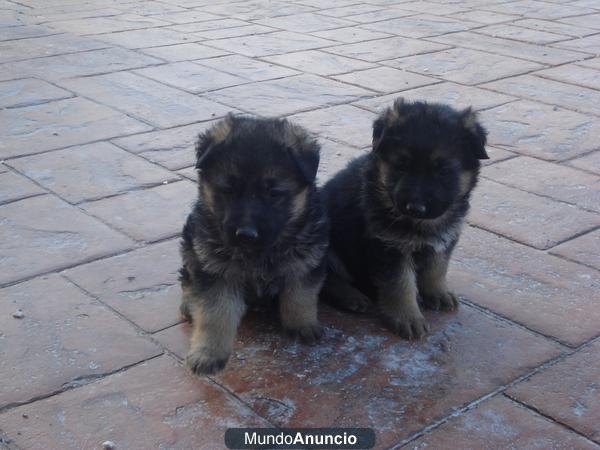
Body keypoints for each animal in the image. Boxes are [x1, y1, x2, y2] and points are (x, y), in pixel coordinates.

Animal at [179, 114, 328, 374]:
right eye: (228, 190)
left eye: (273, 193)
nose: (246, 234)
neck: (259, 254)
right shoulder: (214, 271)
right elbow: (214, 316)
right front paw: (208, 354)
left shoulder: (307, 261)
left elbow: (301, 296)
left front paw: (302, 324)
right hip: (191, 243)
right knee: (187, 277)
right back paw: (189, 303)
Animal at [324, 97, 488, 338]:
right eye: (401, 166)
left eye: (443, 171)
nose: (415, 208)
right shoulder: (389, 247)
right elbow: (400, 284)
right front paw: (408, 317)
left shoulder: (445, 237)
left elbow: (438, 267)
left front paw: (437, 292)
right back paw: (351, 296)